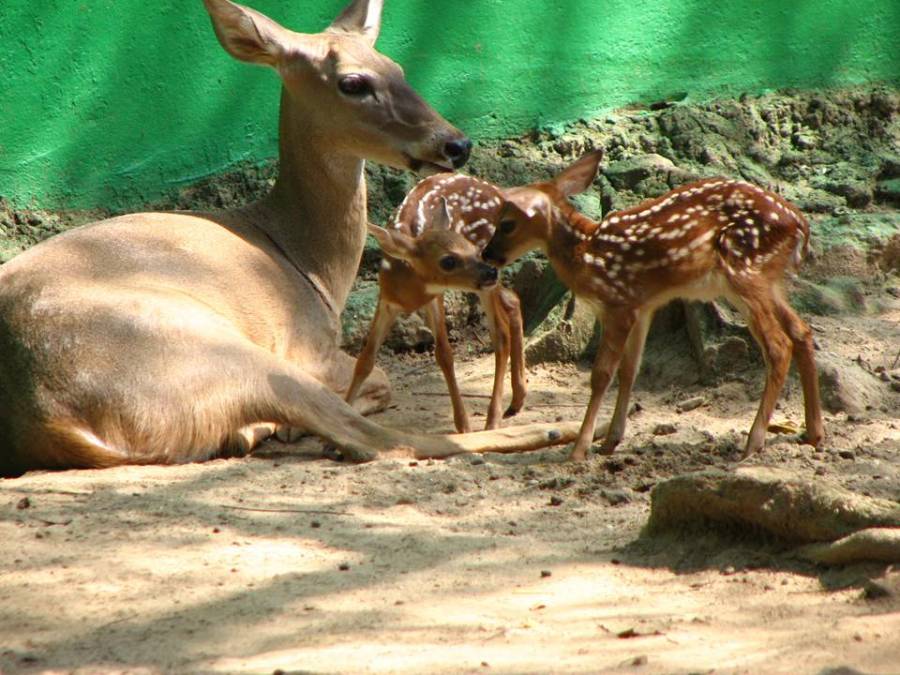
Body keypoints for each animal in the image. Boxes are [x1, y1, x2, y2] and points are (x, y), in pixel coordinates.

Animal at [346, 176, 528, 434]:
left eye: (474, 252)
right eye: (448, 261)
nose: (489, 271)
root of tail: (498, 192)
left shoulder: (436, 298)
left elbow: (444, 354)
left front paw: (463, 425)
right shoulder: (386, 300)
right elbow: (365, 360)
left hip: (486, 278)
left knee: (500, 333)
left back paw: (493, 419)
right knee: (512, 300)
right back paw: (517, 399)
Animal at [482, 151, 828, 462]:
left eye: (507, 224)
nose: (487, 254)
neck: (587, 254)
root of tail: (801, 227)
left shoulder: (618, 303)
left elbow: (601, 374)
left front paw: (579, 451)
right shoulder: (643, 305)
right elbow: (630, 370)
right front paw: (610, 441)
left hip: (744, 272)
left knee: (778, 345)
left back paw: (753, 443)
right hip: (767, 280)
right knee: (802, 331)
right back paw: (813, 434)